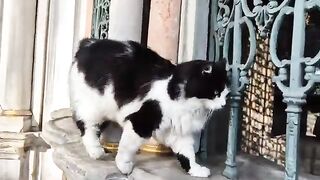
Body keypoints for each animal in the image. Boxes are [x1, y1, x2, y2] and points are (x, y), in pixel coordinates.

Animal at [69, 38, 230, 177]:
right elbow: (127, 147)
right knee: (85, 126)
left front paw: (196, 170)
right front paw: (123, 166)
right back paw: (96, 151)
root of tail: (88, 43)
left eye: (226, 93)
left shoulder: (178, 132)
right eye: (216, 93)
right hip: (93, 107)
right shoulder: (141, 120)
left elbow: (187, 154)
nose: (224, 104)